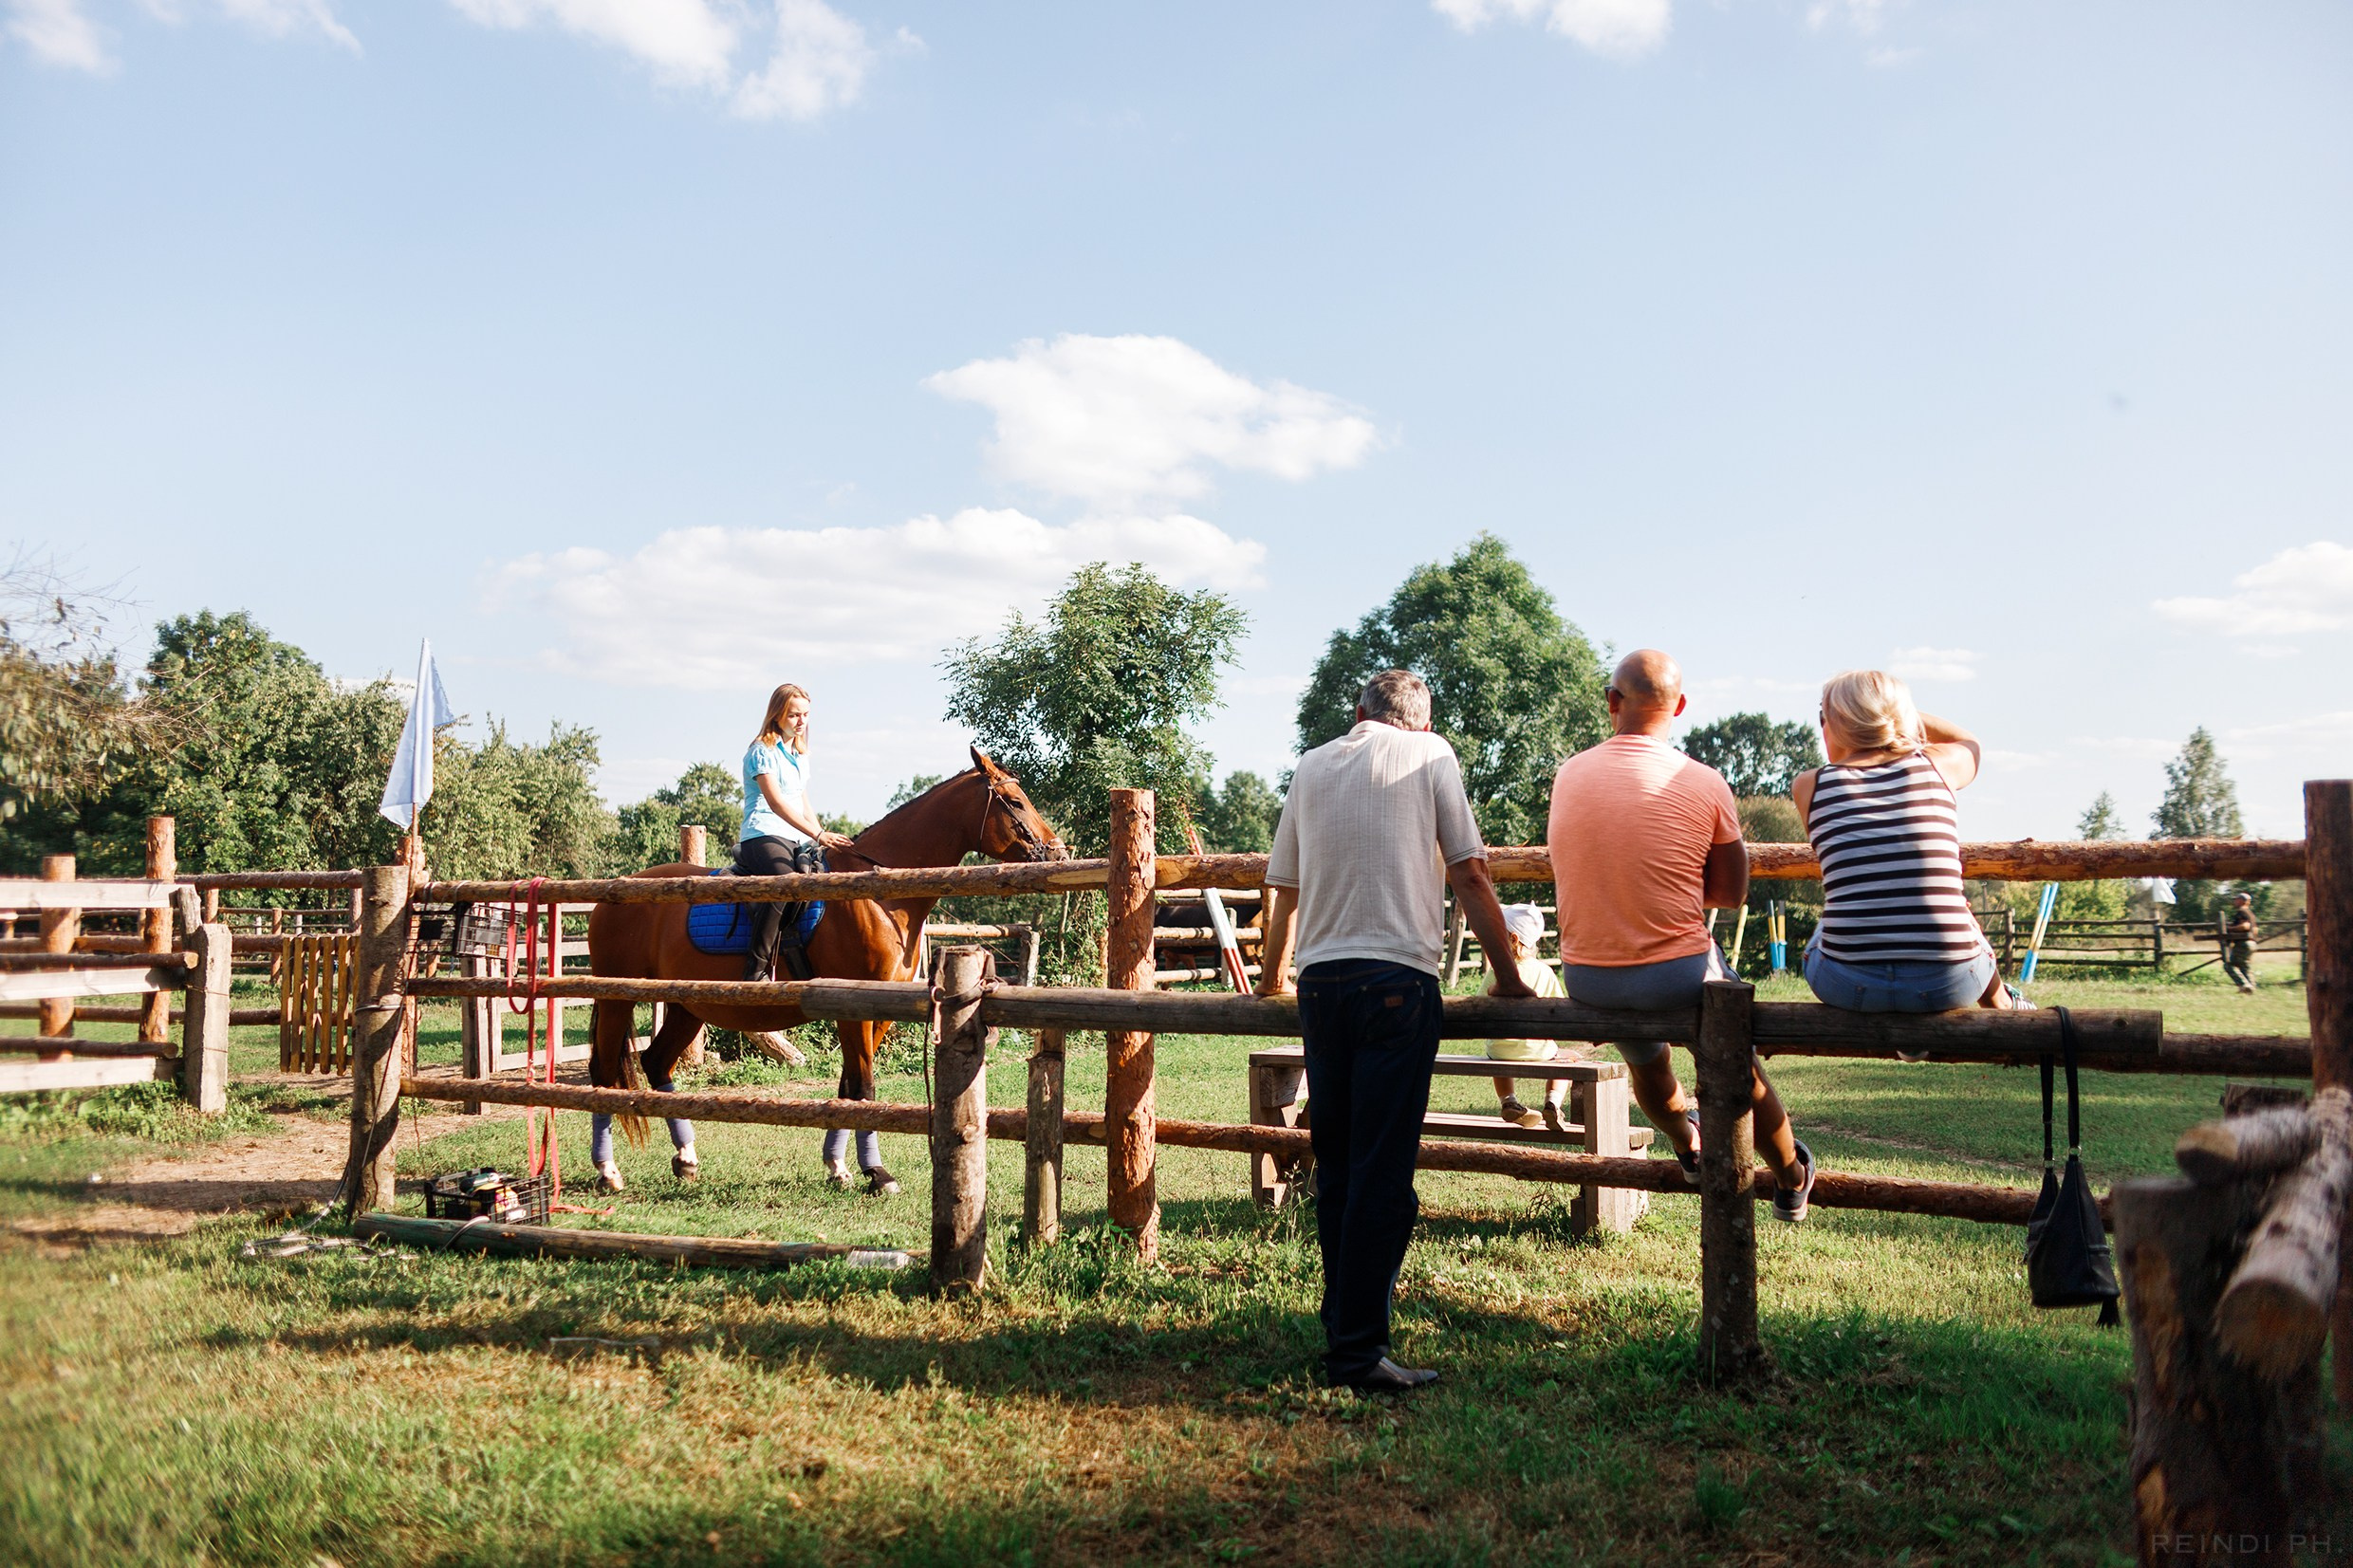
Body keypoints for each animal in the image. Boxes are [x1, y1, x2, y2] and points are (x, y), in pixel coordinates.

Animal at [585, 747, 1068, 1194]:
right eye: (1016, 801)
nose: (1059, 852)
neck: (879, 893)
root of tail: (615, 893)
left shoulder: (877, 1012)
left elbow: (848, 1088)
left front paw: (839, 1166)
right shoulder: (853, 1009)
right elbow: (865, 1087)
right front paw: (877, 1173)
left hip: (687, 1004)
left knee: (655, 1062)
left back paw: (685, 1158)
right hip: (618, 997)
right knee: (604, 1072)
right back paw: (609, 1170)